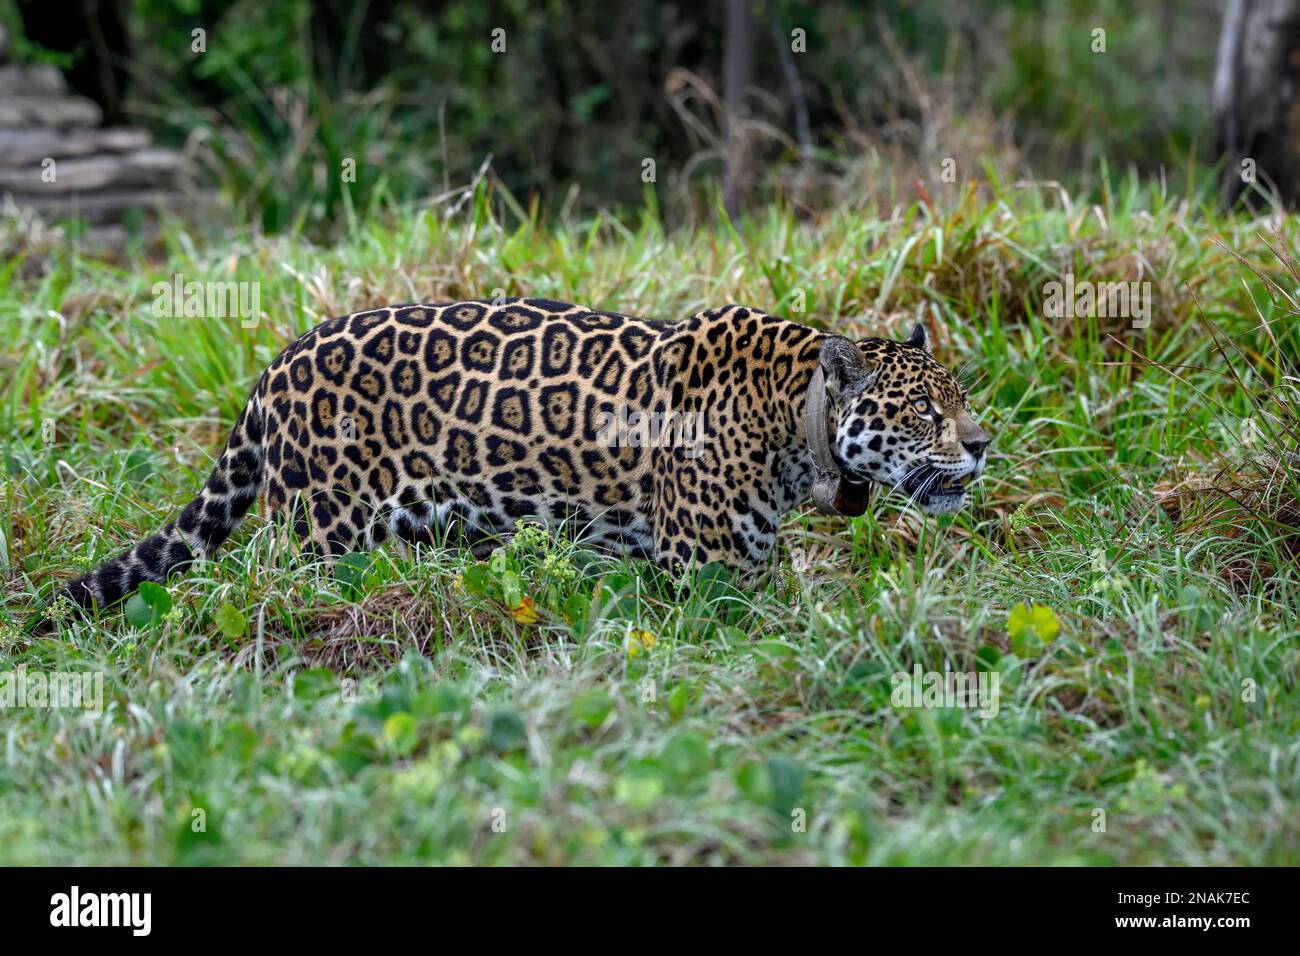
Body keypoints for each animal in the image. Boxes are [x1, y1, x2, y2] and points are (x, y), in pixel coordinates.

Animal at [50, 298, 990, 615]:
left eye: (962, 399)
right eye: (922, 410)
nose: (983, 445)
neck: (793, 421)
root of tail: (276, 363)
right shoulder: (711, 575)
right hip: (326, 535)